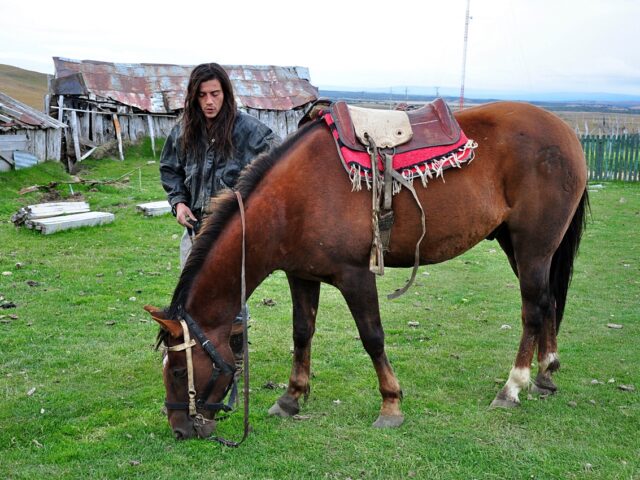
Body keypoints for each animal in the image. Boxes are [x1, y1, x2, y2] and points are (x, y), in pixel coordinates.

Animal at [148, 101, 588, 438]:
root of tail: (565, 132)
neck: (290, 201)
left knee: (532, 310)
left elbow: (372, 337)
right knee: (547, 301)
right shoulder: (301, 275)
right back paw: (546, 373)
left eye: (179, 371)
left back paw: (513, 387)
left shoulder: (355, 276)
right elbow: (302, 333)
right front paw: (291, 398)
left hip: (533, 246)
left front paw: (391, 405)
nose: (180, 429)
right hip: (519, 246)